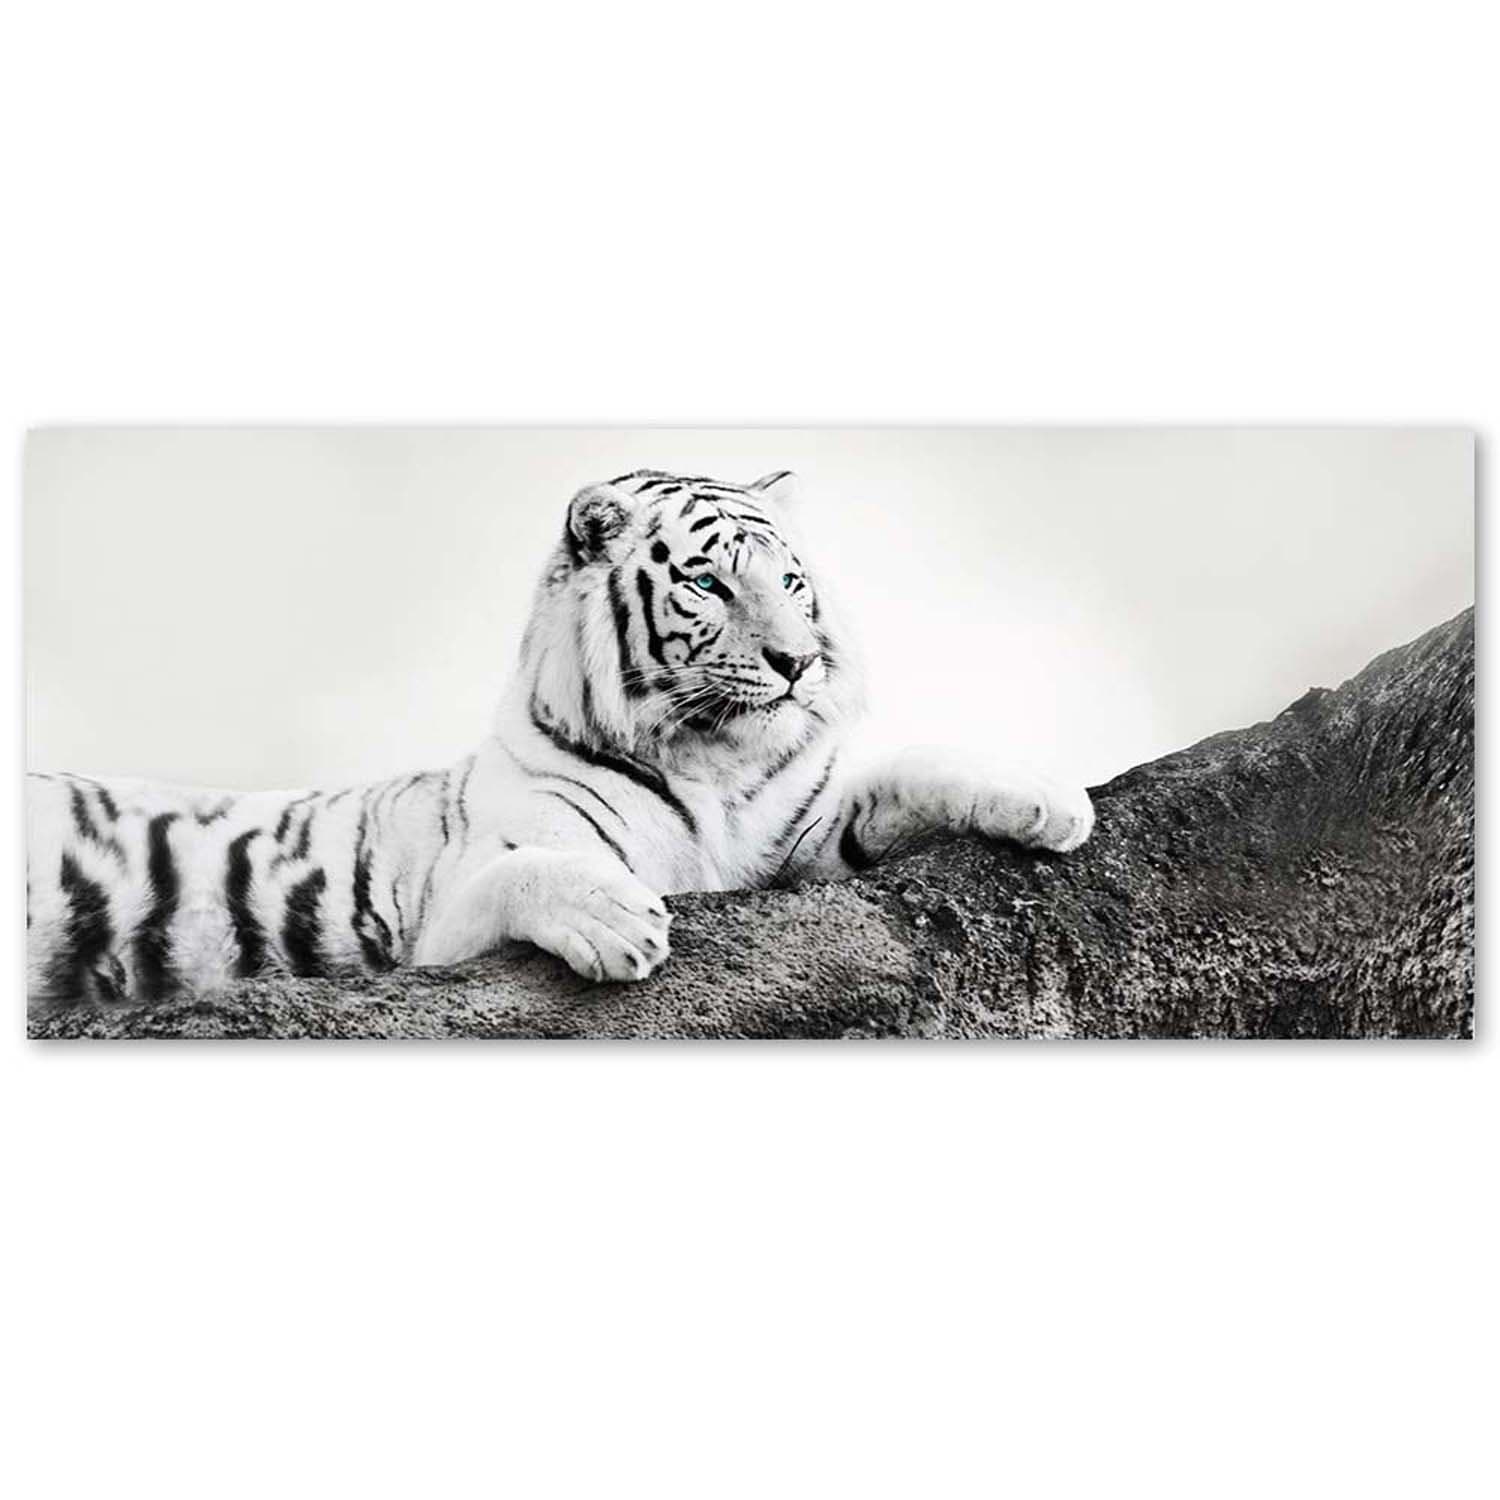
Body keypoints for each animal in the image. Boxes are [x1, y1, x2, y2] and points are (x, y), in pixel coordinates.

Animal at [26, 468, 1093, 1003]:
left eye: (792, 583)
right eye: (708, 583)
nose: (797, 663)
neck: (712, 761)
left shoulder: (810, 839)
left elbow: (911, 769)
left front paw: (1051, 801)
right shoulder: (443, 922)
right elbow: (526, 871)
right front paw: (619, 920)